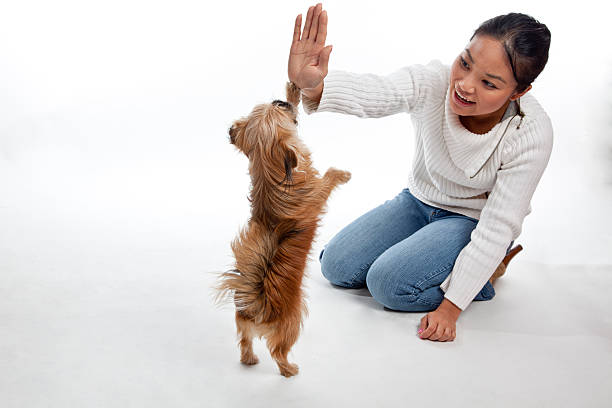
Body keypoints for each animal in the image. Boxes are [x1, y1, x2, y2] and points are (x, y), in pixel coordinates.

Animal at [214, 81, 350, 378]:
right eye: (281, 113)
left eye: (275, 105)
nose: (279, 101)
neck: (269, 178)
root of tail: (257, 309)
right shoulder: (316, 195)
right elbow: (327, 179)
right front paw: (342, 174)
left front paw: (293, 90)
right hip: (293, 322)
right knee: (278, 352)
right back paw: (290, 370)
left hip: (243, 327)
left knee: (245, 343)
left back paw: (250, 360)